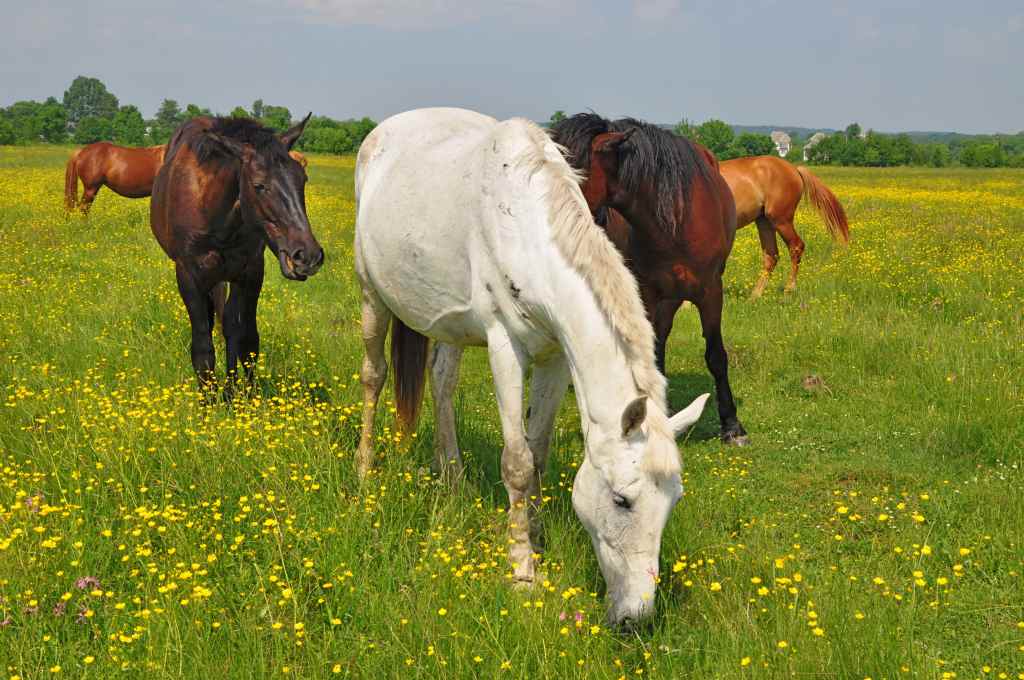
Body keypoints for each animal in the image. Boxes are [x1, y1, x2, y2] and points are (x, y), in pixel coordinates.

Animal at [150, 115, 323, 395]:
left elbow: (247, 340)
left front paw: (244, 397)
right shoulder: (188, 275)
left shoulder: (251, 271)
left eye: (303, 179)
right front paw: (209, 400)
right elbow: (202, 347)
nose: (307, 256)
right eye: (259, 185)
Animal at [353, 108, 709, 626]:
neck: (526, 232)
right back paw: (364, 471)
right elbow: (518, 463)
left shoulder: (556, 358)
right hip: (371, 295)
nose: (635, 617)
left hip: (449, 322)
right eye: (622, 500)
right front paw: (522, 570)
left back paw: (452, 481)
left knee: (442, 382)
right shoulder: (505, 349)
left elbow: (538, 454)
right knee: (374, 376)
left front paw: (537, 540)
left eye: (674, 501)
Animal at [550, 113, 748, 445]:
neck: (673, 220)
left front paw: (732, 425)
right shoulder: (649, 292)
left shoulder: (710, 292)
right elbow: (652, 353)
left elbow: (716, 356)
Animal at [720, 156, 849, 297]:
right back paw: (755, 295)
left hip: (781, 220)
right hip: (764, 221)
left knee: (795, 247)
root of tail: (795, 169)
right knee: (771, 256)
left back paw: (789, 289)